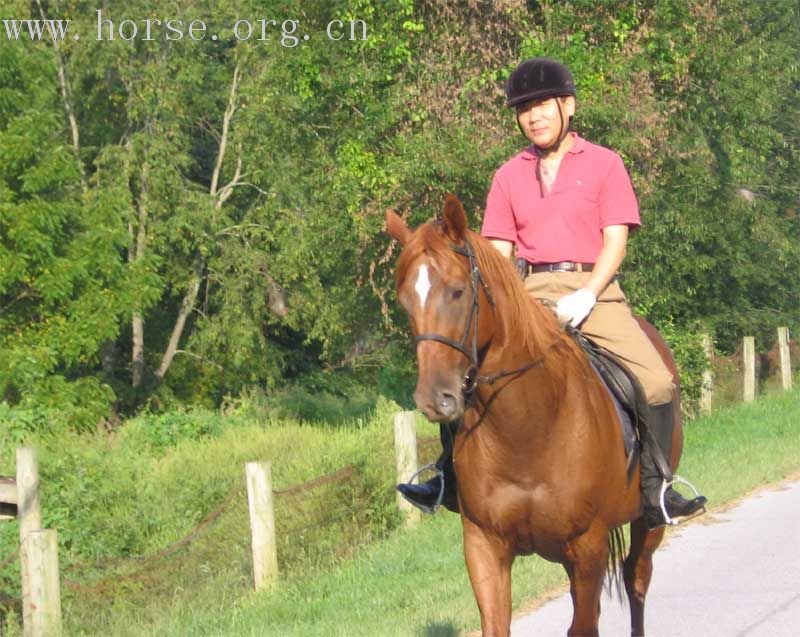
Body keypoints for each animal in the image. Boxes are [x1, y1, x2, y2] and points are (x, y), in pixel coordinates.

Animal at [384, 195, 684, 636]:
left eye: (457, 292)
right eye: (405, 300)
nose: (434, 399)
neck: (526, 428)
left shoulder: (588, 545)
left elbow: (584, 625)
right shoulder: (484, 546)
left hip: (646, 525)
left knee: (636, 579)